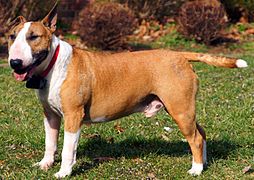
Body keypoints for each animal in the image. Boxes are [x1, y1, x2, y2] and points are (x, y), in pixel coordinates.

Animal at [7, 3, 248, 178]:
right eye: (11, 36)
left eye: (34, 37)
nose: (14, 62)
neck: (53, 64)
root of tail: (180, 55)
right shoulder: (50, 116)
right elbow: (50, 142)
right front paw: (45, 164)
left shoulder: (73, 116)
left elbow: (68, 148)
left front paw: (63, 172)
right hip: (182, 108)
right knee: (201, 132)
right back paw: (203, 163)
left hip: (180, 109)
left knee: (195, 138)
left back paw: (196, 169)